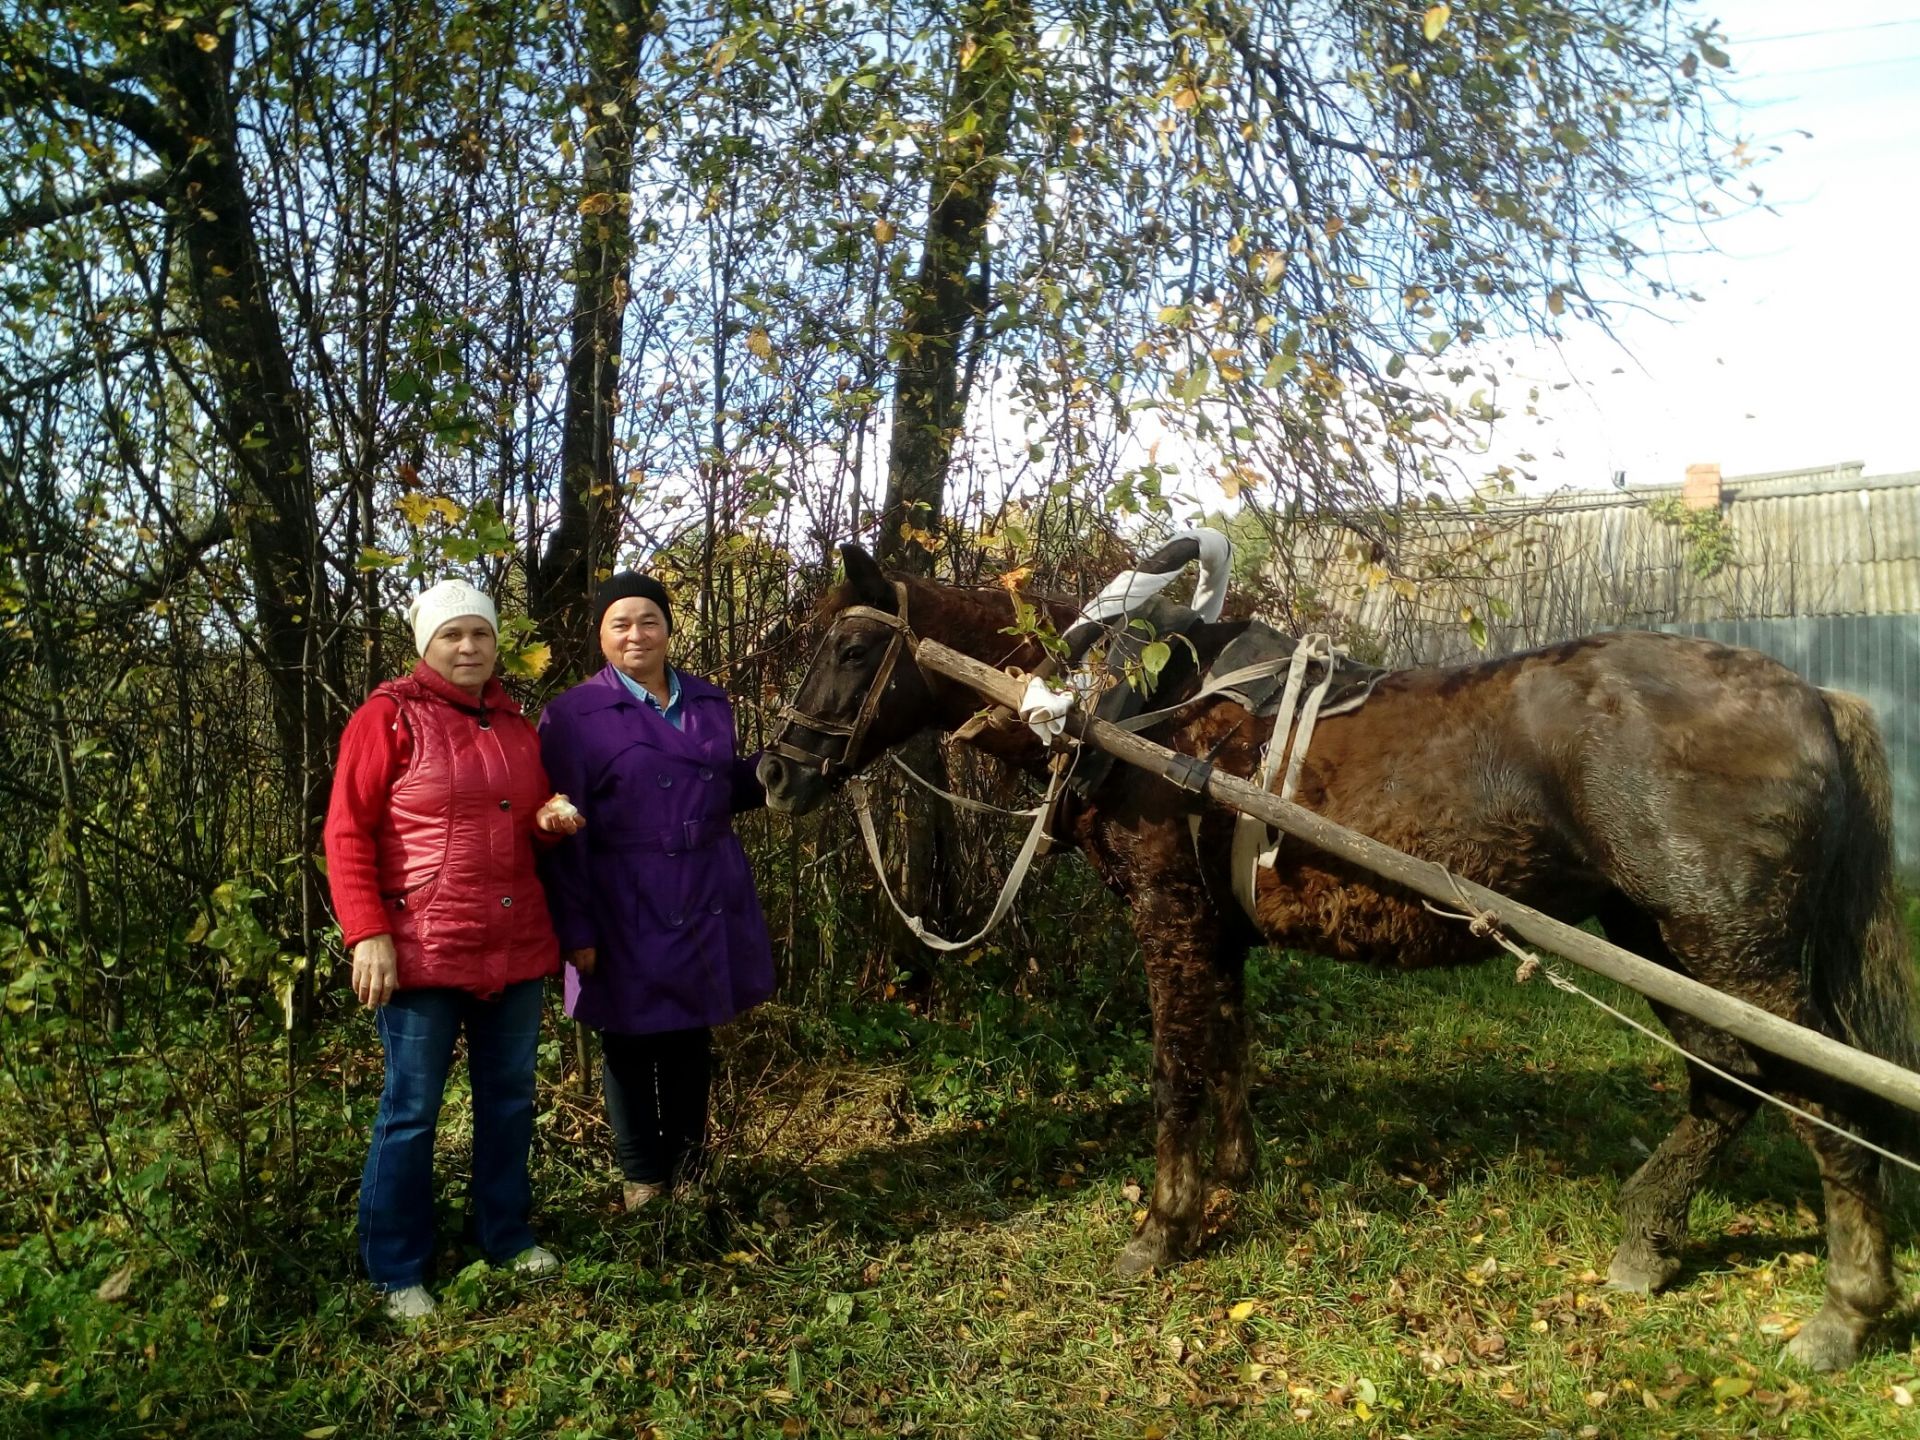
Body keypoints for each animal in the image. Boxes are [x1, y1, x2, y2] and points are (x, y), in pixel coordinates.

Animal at [756, 545, 1912, 1374]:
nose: (772, 773)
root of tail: (1819, 699)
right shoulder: (1216, 930)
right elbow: (1228, 1047)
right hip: (1659, 936)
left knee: (1825, 1102)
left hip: (1730, 946)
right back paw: (1649, 1240)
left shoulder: (1169, 914)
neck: (1124, 709)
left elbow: (1176, 1071)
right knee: (1729, 1081)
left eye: (850, 650)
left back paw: (1843, 1314)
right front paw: (1232, 1179)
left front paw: (1161, 1227)